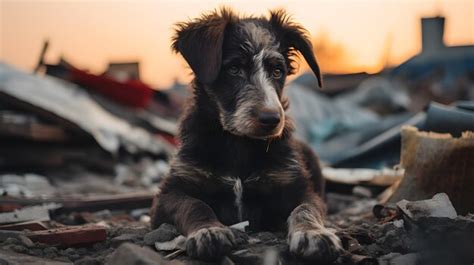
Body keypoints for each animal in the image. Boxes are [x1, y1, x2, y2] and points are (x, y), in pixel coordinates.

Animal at [152, 7, 344, 262]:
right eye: (234, 69)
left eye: (277, 71)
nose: (272, 120)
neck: (238, 142)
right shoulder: (169, 194)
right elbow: (194, 205)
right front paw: (208, 231)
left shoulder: (300, 189)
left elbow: (305, 209)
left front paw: (313, 234)